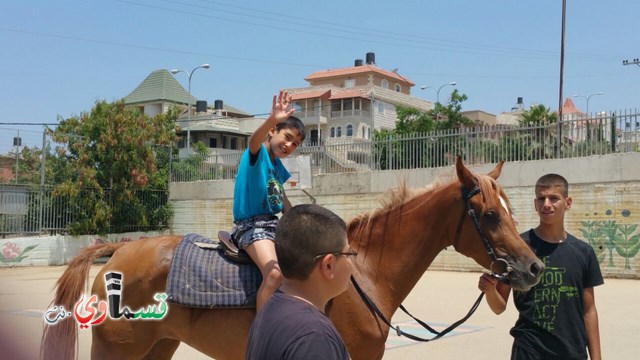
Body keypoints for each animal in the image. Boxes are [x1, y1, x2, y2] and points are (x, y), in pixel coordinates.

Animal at [40, 159, 544, 358]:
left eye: (510, 210)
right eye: (488, 215)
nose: (533, 267)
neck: (362, 272)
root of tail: (121, 249)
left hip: (158, 347)